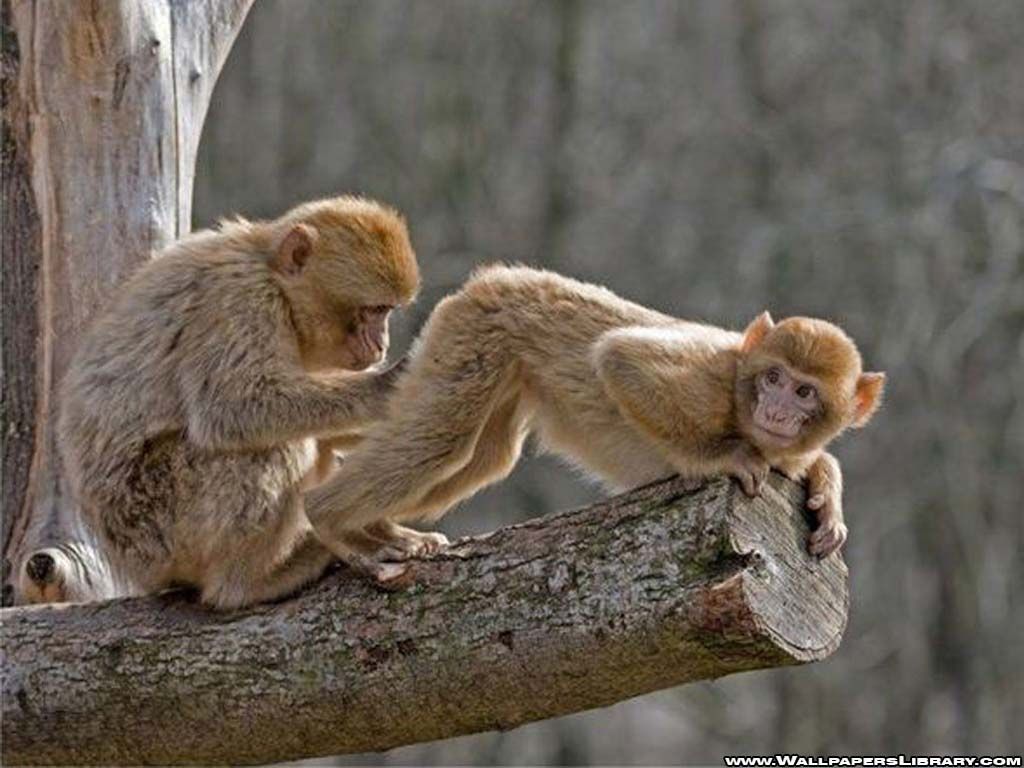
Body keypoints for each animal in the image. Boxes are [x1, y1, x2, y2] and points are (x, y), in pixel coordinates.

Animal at [43, 195, 421, 609]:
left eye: (386, 312)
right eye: (373, 310)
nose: (381, 344)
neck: (273, 278)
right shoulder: (239, 299)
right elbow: (233, 408)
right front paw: (386, 386)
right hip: (159, 522)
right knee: (273, 448)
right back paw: (249, 582)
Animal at [304, 265, 885, 582]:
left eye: (805, 391)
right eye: (774, 378)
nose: (777, 411)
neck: (742, 400)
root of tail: (494, 277)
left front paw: (827, 493)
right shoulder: (710, 376)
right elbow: (619, 359)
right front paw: (722, 459)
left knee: (483, 457)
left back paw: (374, 527)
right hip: (474, 335)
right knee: (441, 439)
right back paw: (328, 516)